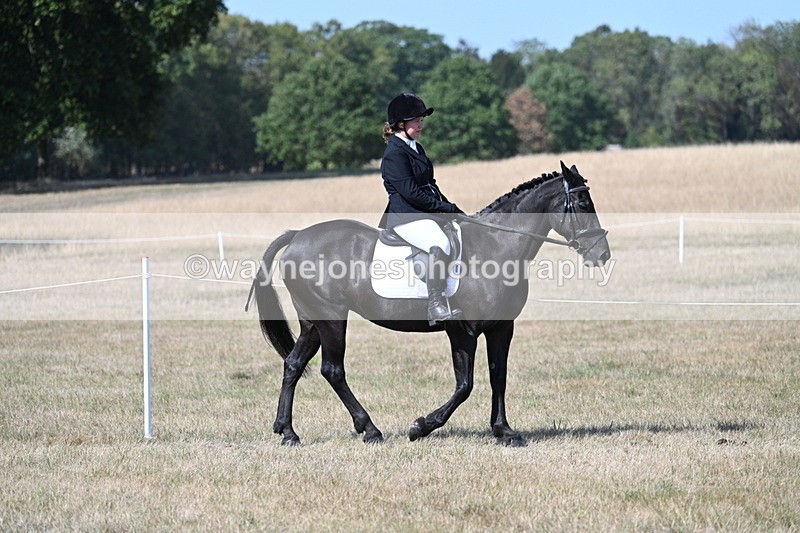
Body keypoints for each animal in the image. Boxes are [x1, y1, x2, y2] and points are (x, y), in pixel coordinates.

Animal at [246, 161, 610, 446]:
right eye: (581, 202)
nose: (602, 255)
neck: (495, 247)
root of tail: (298, 236)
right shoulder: (463, 331)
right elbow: (465, 385)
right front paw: (421, 427)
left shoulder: (501, 328)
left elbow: (499, 376)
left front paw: (504, 431)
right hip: (332, 318)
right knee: (332, 370)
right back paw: (370, 430)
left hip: (313, 320)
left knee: (293, 364)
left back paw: (288, 432)